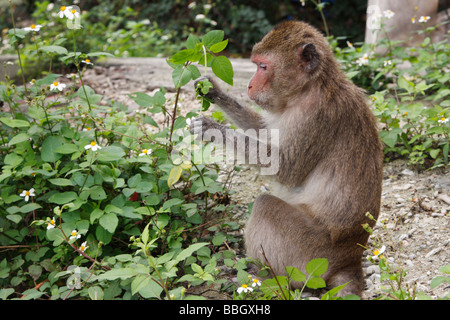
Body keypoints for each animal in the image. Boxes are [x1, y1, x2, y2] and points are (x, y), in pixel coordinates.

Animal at [190, 20, 384, 298]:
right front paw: (214, 91)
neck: (309, 88)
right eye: (255, 65)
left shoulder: (314, 116)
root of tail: (350, 258)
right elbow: (262, 130)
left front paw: (213, 128)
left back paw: (263, 277)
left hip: (309, 252)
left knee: (265, 206)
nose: (249, 85)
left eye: (262, 67)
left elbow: (285, 169)